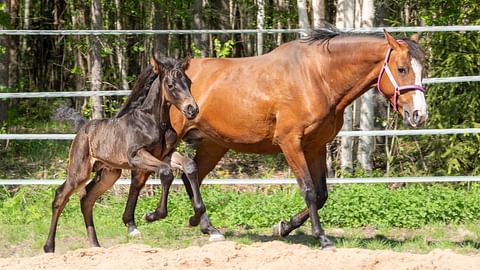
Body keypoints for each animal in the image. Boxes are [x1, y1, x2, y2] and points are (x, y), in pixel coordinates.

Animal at [42, 56, 205, 253]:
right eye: (171, 84)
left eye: (188, 82)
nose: (192, 109)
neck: (154, 121)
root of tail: (82, 128)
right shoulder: (136, 156)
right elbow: (166, 172)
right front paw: (152, 215)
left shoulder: (166, 154)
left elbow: (190, 165)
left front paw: (194, 218)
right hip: (79, 171)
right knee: (61, 196)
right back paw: (49, 247)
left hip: (109, 174)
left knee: (87, 198)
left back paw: (96, 246)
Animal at [122, 29, 426, 247]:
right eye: (402, 69)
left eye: (424, 69)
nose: (419, 115)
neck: (317, 77)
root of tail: (166, 71)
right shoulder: (291, 144)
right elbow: (309, 191)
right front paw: (322, 237)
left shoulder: (316, 146)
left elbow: (322, 194)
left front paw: (284, 227)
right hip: (167, 143)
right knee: (145, 175)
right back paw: (137, 222)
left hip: (214, 144)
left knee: (190, 175)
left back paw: (207, 227)